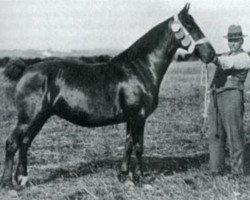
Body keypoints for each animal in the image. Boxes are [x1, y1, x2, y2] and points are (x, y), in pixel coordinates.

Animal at [0, 2, 216, 188]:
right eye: (190, 25)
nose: (211, 54)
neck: (139, 68)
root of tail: (27, 69)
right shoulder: (138, 116)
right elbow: (138, 146)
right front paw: (139, 178)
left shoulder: (132, 118)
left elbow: (128, 144)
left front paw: (124, 176)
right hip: (28, 118)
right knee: (12, 143)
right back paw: (9, 184)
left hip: (40, 117)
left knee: (25, 143)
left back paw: (23, 179)